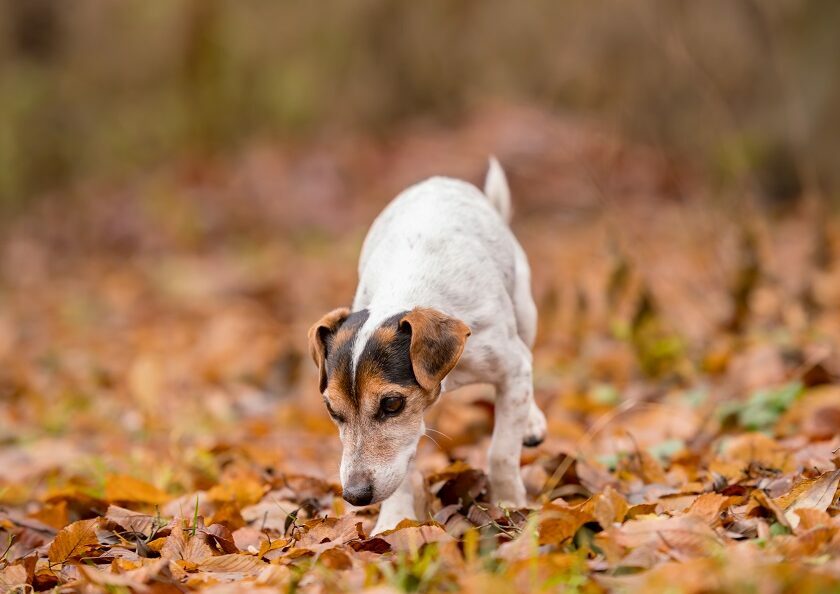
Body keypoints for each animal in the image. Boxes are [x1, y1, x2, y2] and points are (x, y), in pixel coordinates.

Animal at [308, 158, 544, 532]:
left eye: (391, 404)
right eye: (332, 410)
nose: (355, 496)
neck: (408, 289)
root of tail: (441, 180)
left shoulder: (512, 368)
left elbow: (501, 452)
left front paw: (510, 504)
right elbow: (403, 470)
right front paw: (393, 522)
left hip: (525, 309)